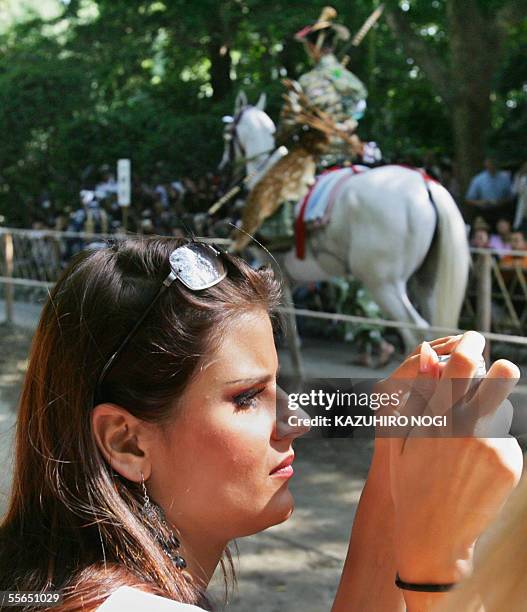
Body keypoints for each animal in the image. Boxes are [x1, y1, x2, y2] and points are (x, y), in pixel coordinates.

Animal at [221, 94, 472, 360]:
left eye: (227, 134)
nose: (223, 168)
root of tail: (425, 185)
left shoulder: (267, 264)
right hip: (426, 282)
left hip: (383, 283)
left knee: (414, 331)